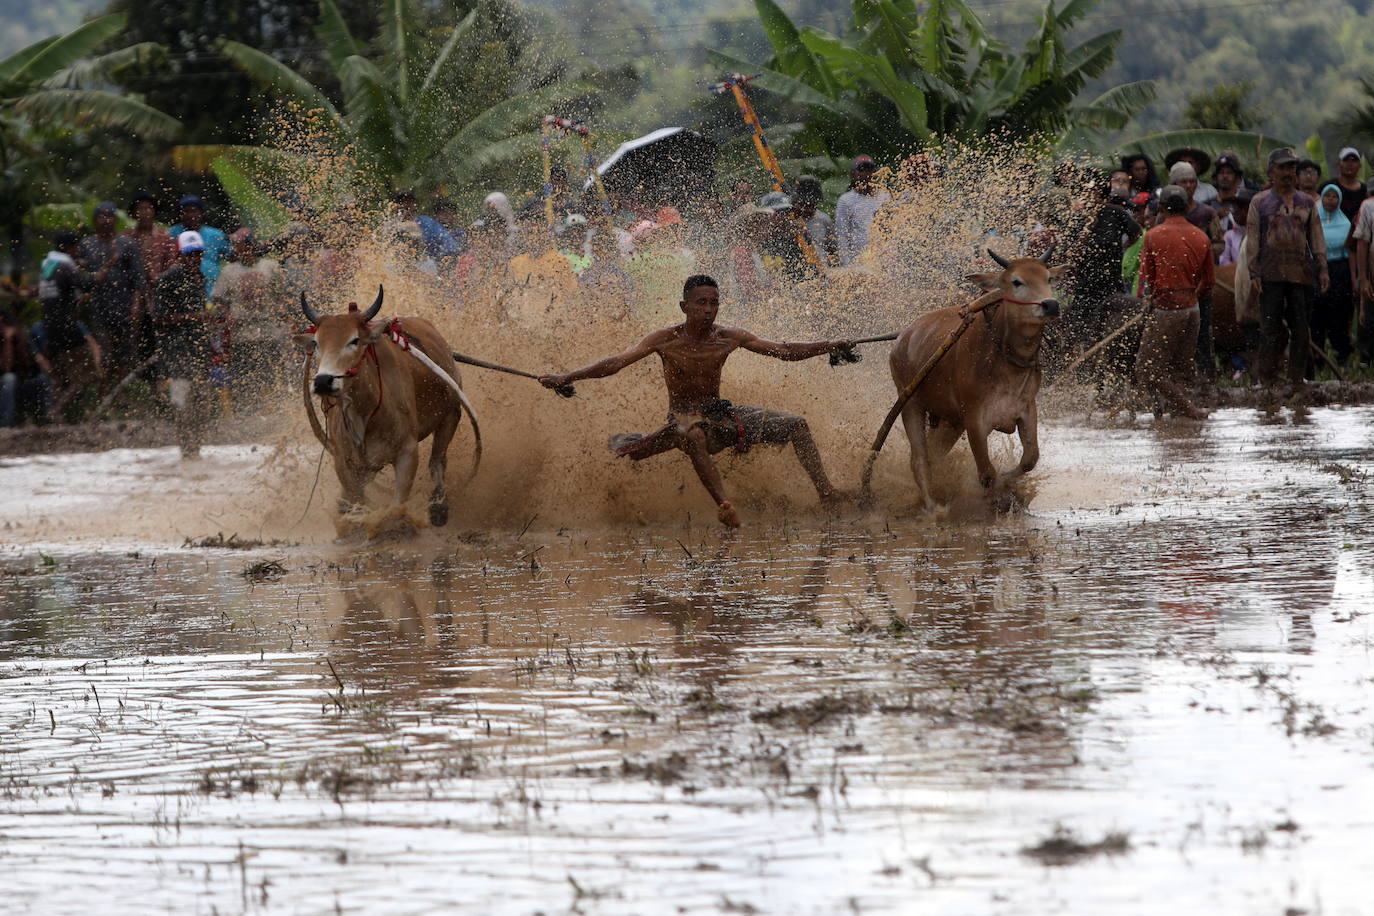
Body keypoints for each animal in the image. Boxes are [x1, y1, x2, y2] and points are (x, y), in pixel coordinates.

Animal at [299, 287, 478, 530]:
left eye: (354, 340)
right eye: (316, 343)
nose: (323, 381)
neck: (365, 412)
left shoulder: (407, 452)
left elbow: (396, 504)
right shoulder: (344, 460)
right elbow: (356, 501)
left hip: (450, 415)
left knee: (437, 463)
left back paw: (439, 507)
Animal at [884, 247, 1066, 513]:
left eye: (1048, 279)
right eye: (1016, 281)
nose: (1050, 305)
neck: (1004, 356)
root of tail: (902, 337)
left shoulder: (1026, 408)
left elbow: (1029, 459)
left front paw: (1008, 482)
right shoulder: (974, 418)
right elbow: (987, 474)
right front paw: (997, 497)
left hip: (950, 421)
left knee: (933, 456)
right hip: (910, 404)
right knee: (919, 460)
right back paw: (932, 507)